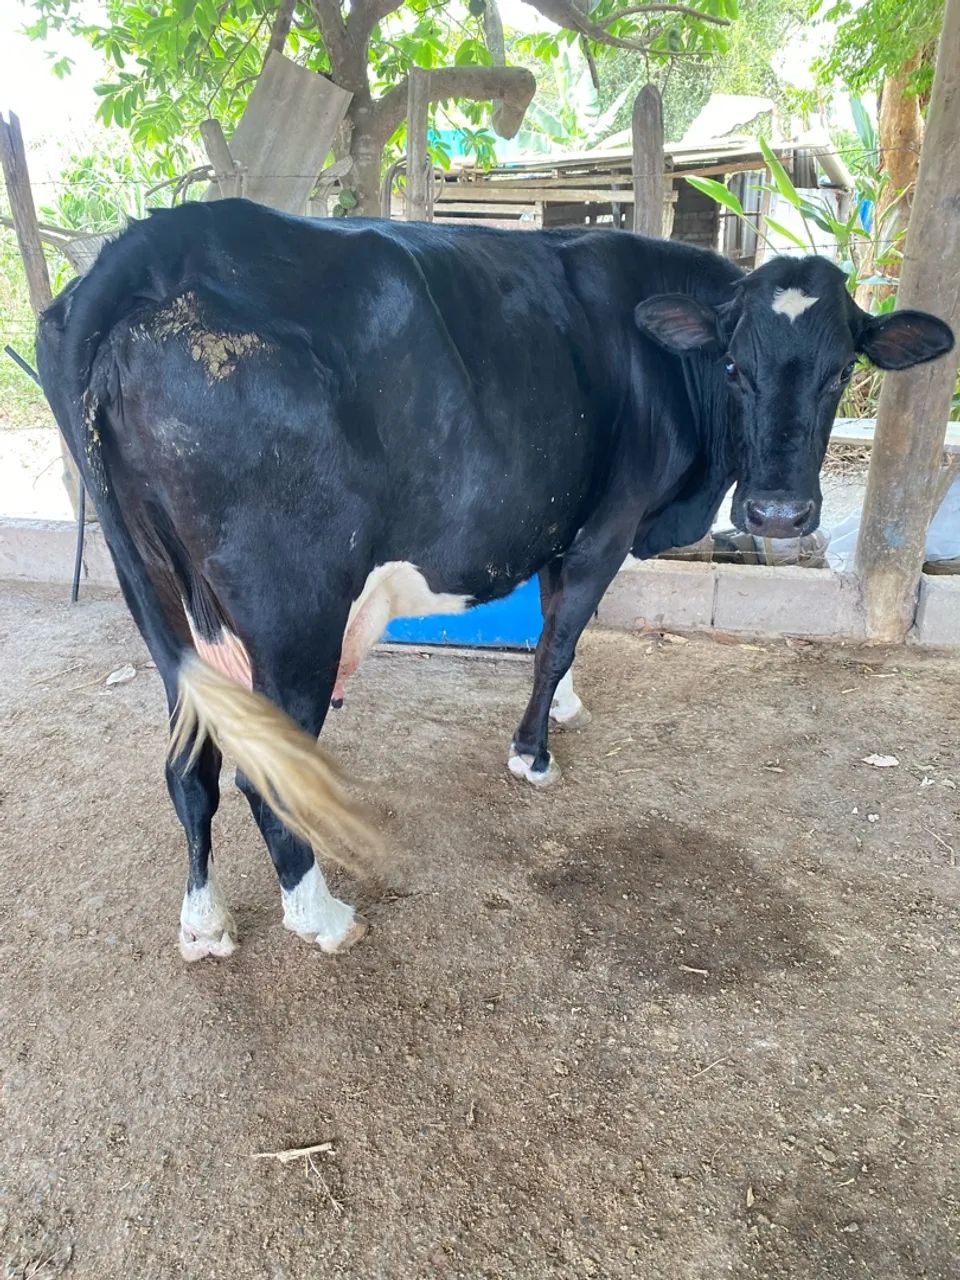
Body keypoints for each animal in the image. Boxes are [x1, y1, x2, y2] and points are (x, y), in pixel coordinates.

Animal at [36, 198, 954, 961]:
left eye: (841, 371)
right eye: (735, 367)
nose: (777, 513)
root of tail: (154, 242)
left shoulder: (564, 529)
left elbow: (553, 626)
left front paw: (567, 708)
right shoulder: (606, 526)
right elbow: (558, 637)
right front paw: (532, 753)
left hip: (160, 598)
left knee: (187, 772)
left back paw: (203, 921)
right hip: (293, 614)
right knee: (263, 774)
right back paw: (321, 916)